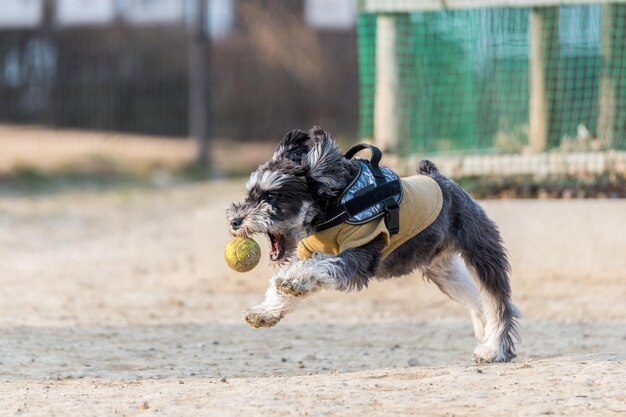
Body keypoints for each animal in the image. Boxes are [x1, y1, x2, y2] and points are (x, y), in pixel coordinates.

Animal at [227, 126, 520, 360]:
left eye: (272, 197)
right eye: (250, 194)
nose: (235, 221)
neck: (337, 204)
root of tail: (443, 180)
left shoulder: (357, 256)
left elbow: (319, 267)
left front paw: (292, 281)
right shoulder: (309, 252)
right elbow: (288, 280)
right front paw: (264, 312)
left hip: (482, 255)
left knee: (498, 303)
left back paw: (495, 349)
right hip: (443, 272)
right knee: (477, 301)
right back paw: (484, 334)